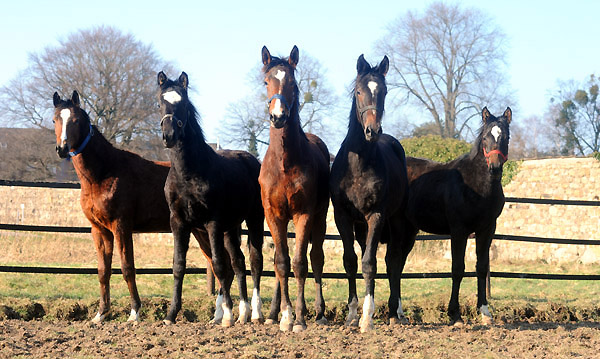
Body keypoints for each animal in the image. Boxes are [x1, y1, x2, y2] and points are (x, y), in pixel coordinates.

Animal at [51, 90, 219, 324]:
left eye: (75, 120)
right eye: (55, 119)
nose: (62, 148)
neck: (104, 173)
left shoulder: (121, 227)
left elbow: (127, 268)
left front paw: (134, 313)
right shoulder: (100, 230)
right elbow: (103, 271)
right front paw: (100, 314)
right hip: (200, 230)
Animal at [157, 69, 264, 326]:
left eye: (184, 103)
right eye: (160, 102)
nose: (169, 135)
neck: (188, 173)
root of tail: (251, 160)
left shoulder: (212, 222)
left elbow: (218, 264)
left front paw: (227, 315)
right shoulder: (179, 223)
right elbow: (179, 265)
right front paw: (171, 315)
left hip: (254, 220)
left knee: (255, 261)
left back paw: (254, 313)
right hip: (231, 228)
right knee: (238, 262)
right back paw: (242, 313)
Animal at [258, 46, 330, 334]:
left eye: (293, 83)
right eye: (266, 81)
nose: (278, 117)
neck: (284, 164)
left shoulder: (304, 214)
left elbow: (300, 263)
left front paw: (299, 318)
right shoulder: (273, 215)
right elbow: (281, 263)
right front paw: (285, 315)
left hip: (320, 219)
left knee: (316, 258)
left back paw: (319, 313)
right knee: (281, 261)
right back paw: (273, 313)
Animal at [328, 54, 412, 334]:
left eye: (383, 91)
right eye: (358, 91)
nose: (372, 131)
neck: (359, 165)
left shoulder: (376, 215)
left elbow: (369, 264)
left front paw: (367, 317)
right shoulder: (343, 217)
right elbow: (350, 262)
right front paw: (352, 314)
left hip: (396, 221)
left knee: (394, 262)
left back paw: (395, 312)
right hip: (361, 227)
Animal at [404, 107, 510, 326]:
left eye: (505, 136)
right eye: (485, 137)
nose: (495, 168)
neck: (475, 185)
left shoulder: (487, 229)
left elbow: (481, 267)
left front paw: (484, 312)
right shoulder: (459, 231)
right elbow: (458, 269)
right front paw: (455, 314)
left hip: (407, 229)